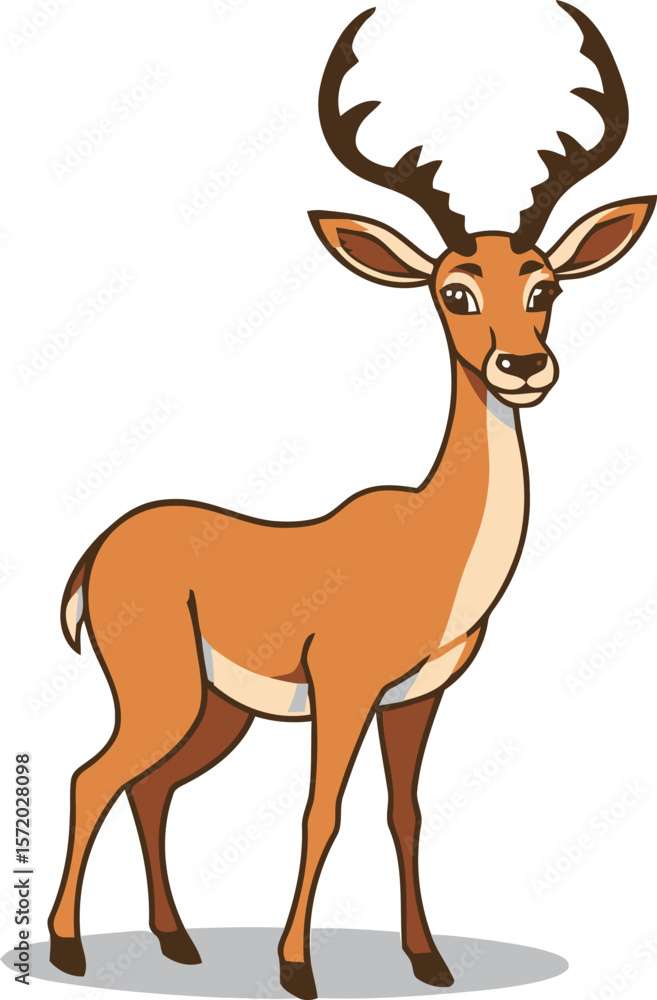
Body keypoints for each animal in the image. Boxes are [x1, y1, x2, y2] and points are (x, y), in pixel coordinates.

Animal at [49, 3, 654, 997]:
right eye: (453, 290)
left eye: (544, 285)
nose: (523, 366)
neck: (434, 544)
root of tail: (98, 551)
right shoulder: (342, 688)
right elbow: (318, 811)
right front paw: (297, 969)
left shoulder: (415, 699)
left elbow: (404, 813)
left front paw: (429, 960)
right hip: (159, 692)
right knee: (92, 777)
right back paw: (66, 948)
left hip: (216, 711)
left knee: (151, 786)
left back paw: (179, 943)